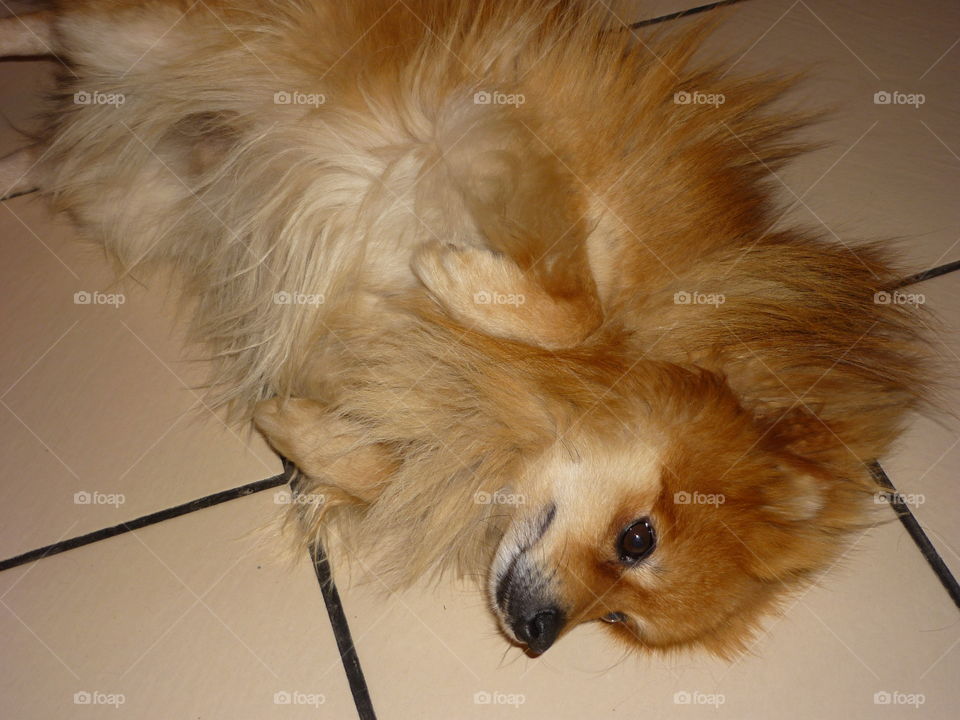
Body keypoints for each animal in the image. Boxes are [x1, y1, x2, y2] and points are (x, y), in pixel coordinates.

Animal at [0, 0, 928, 660]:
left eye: (619, 621)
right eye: (638, 539)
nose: (539, 638)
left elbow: (381, 465)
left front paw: (298, 428)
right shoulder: (510, 140)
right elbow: (573, 304)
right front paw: (448, 273)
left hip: (115, 158)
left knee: (44, 112)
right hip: (145, 33)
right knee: (51, 21)